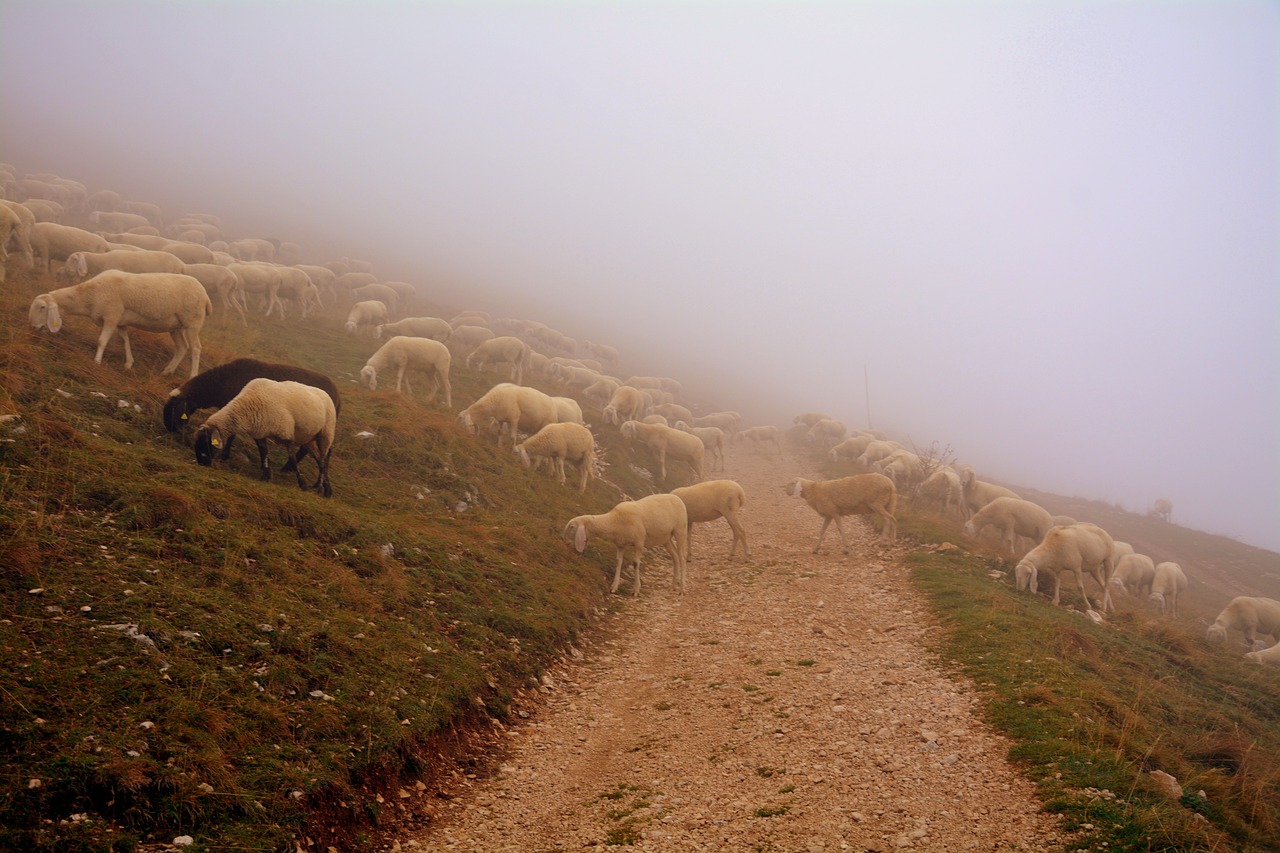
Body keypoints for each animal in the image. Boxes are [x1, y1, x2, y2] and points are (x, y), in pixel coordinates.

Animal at [28, 268, 212, 376]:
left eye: (42, 307)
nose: (33, 327)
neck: (89, 295)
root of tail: (205, 295)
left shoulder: (111, 316)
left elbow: (102, 341)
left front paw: (97, 361)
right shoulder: (120, 321)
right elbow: (125, 340)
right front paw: (128, 364)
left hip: (193, 322)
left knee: (196, 348)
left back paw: (192, 376)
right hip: (175, 326)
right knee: (182, 347)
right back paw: (167, 371)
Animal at [193, 376, 335, 494]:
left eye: (207, 443)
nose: (203, 463)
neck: (248, 403)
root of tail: (325, 394)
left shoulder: (287, 433)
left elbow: (293, 459)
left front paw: (303, 485)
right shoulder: (261, 433)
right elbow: (264, 452)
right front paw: (266, 476)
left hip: (325, 433)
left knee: (324, 458)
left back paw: (321, 487)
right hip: (308, 438)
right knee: (319, 458)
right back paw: (326, 489)